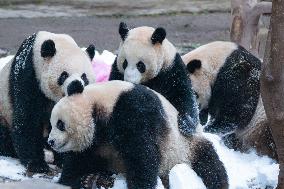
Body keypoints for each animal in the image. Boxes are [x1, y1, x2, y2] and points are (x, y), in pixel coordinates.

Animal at [0, 31, 96, 173]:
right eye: (64, 75)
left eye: (84, 77)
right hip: (3, 113)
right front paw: (37, 164)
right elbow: (27, 119)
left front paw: (64, 160)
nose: (77, 85)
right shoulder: (28, 76)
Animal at [47, 80, 227, 189]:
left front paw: (140, 184)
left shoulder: (132, 109)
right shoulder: (94, 143)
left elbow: (142, 153)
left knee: (210, 166)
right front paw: (79, 180)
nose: (51, 141)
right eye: (51, 124)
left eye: (60, 124)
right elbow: (78, 161)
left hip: (186, 146)